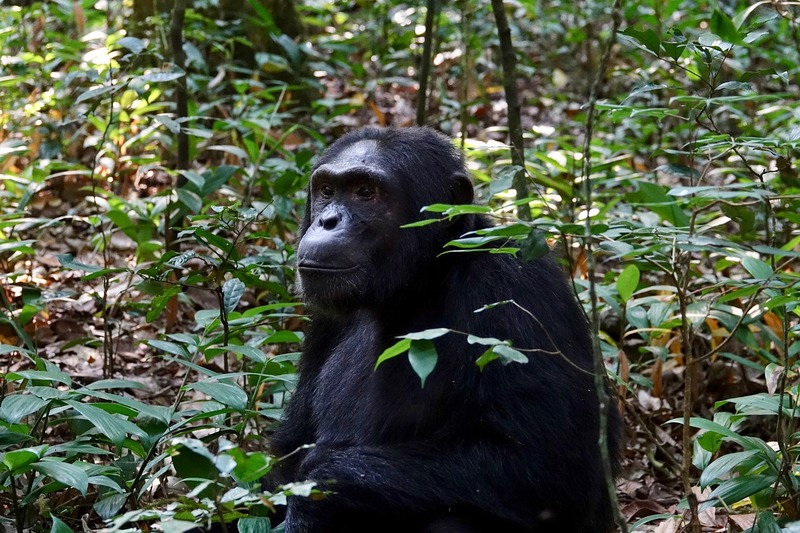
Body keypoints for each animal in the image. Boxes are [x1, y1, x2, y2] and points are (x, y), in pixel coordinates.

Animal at [268, 125, 620, 532]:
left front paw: (318, 490)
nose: (327, 221)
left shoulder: (516, 294)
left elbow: (545, 465)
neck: (417, 284)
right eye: (326, 190)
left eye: (365, 192)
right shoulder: (325, 320)